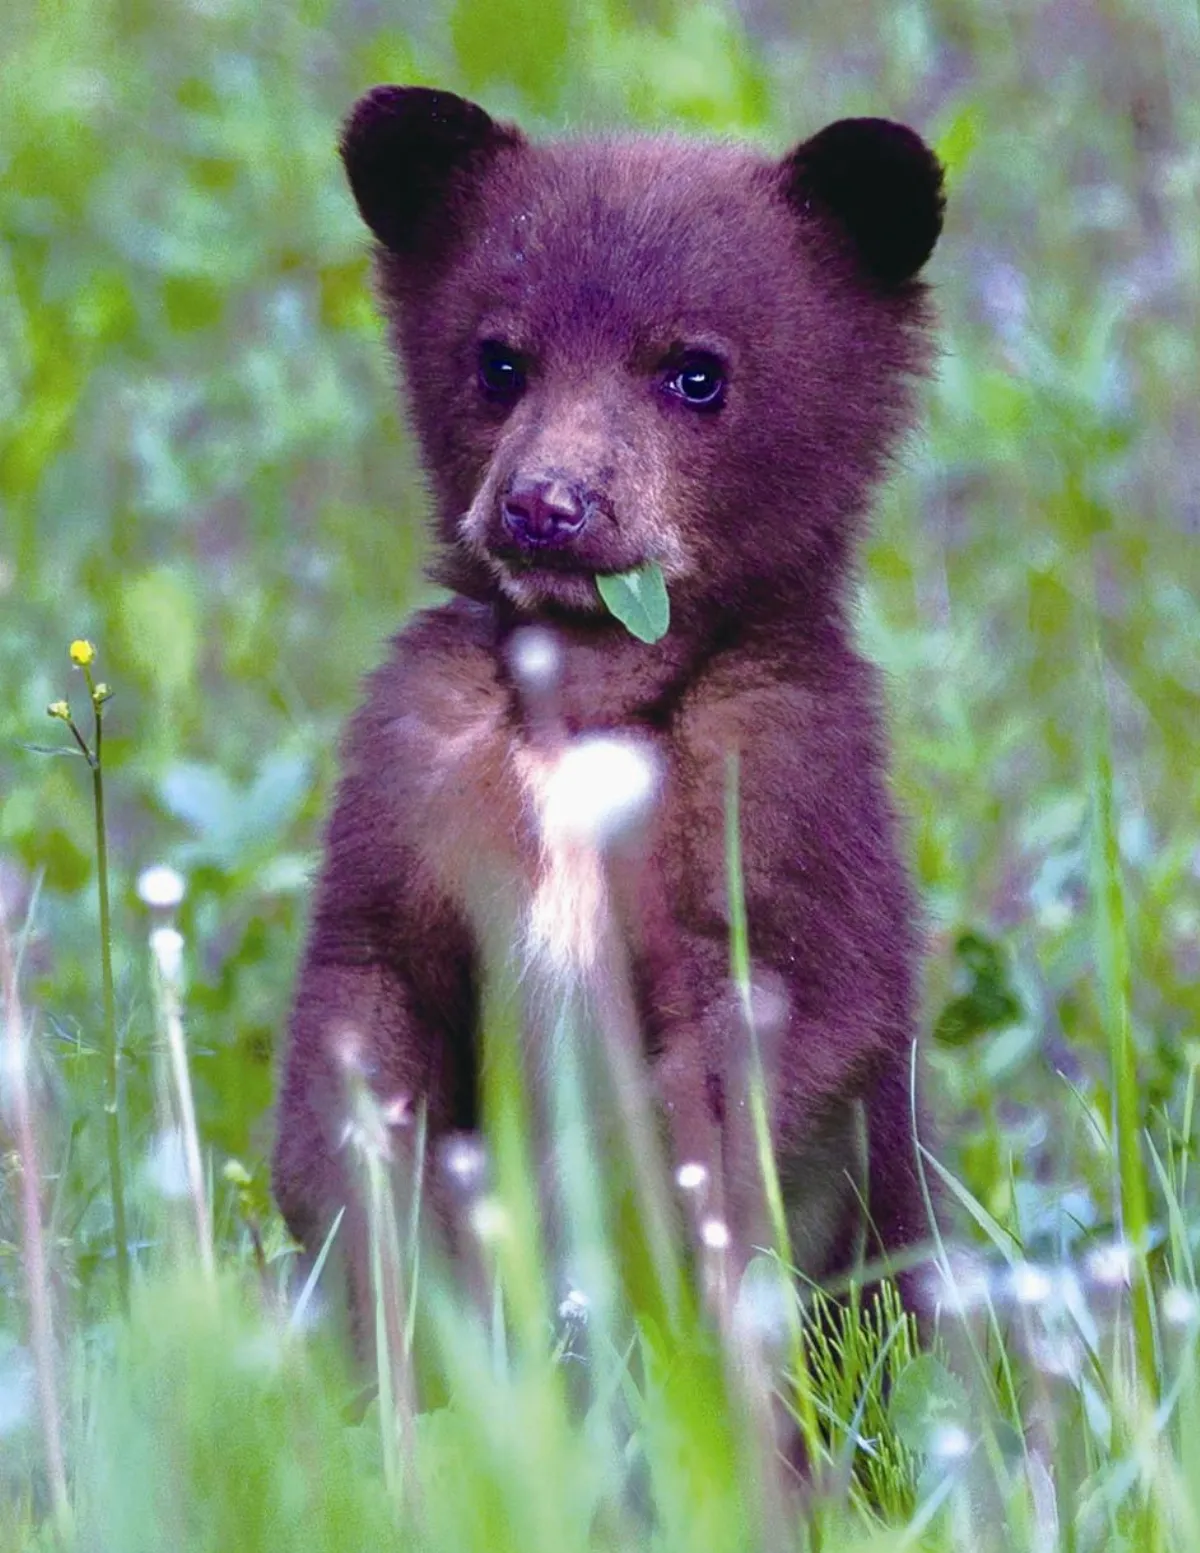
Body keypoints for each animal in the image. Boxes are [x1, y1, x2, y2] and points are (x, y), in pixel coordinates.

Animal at [273, 85, 944, 1334]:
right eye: (499, 359)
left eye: (696, 372)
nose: (546, 503)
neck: (588, 698)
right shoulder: (413, 758)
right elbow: (366, 992)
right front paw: (401, 1279)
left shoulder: (784, 776)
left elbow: (762, 1050)